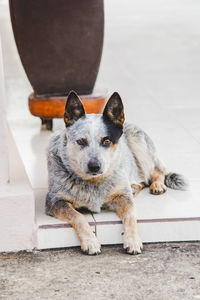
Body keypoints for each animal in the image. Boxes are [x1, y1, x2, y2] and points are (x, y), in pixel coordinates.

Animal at [45, 90, 188, 254]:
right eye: (81, 141)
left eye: (106, 141)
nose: (94, 166)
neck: (94, 183)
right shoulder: (55, 201)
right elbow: (78, 216)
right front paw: (90, 241)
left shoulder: (125, 198)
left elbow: (130, 215)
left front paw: (132, 240)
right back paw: (136, 186)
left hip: (138, 143)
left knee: (155, 172)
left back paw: (157, 185)